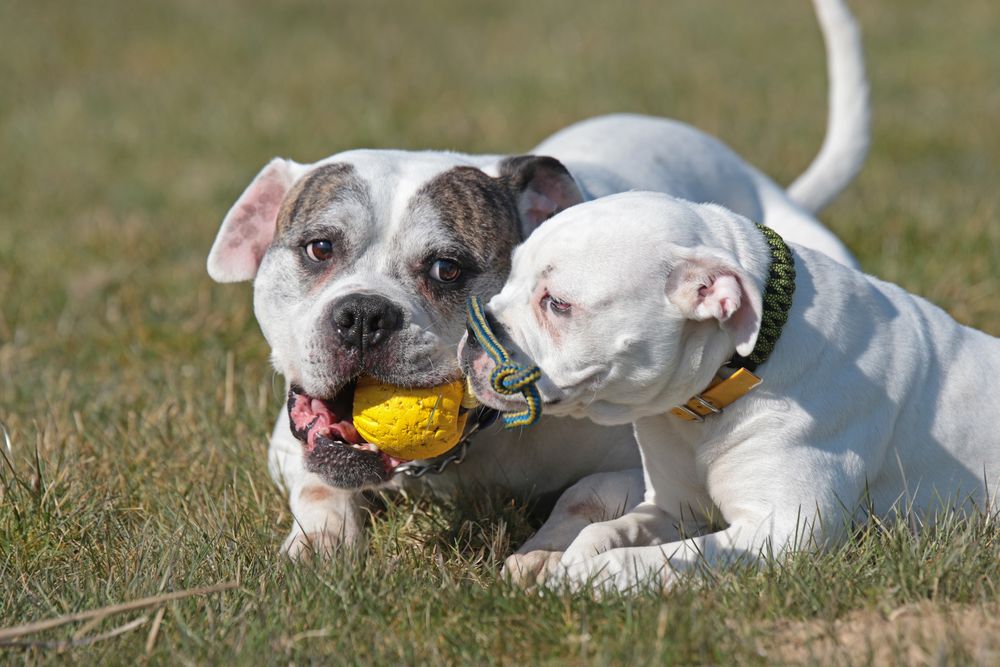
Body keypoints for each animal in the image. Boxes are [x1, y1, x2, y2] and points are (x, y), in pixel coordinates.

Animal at [209, 0, 868, 560]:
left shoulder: (637, 464)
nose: (364, 315)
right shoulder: (287, 448)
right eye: (319, 248)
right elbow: (320, 486)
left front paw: (542, 557)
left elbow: (587, 495)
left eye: (447, 268)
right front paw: (318, 547)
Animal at [462, 190, 1000, 592]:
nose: (473, 331)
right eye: (508, 278)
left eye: (557, 303)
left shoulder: (785, 531)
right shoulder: (672, 507)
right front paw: (561, 559)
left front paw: (573, 578)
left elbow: (643, 559)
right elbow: (605, 531)